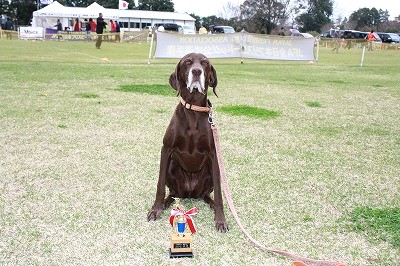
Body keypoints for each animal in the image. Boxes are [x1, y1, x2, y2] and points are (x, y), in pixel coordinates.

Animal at [147, 53, 228, 232]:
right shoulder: (166, 149)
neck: (193, 108)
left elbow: (220, 194)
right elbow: (159, 185)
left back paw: (211, 204)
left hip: (210, 173)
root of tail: (190, 193)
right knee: (172, 192)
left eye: (205, 63)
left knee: (207, 194)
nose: (197, 71)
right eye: (187, 62)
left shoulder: (214, 155)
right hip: (172, 168)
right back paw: (165, 203)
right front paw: (155, 209)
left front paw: (221, 219)